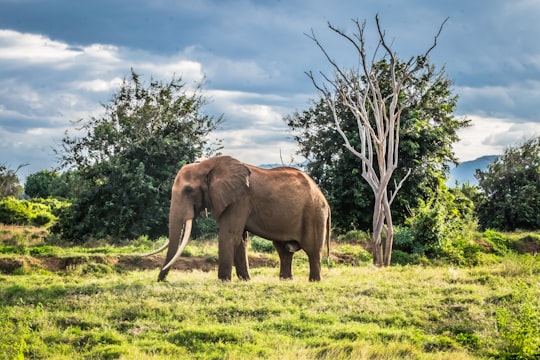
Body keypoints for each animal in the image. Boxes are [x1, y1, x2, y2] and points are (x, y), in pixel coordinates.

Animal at [143, 155, 330, 282]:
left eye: (188, 190)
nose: (161, 280)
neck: (208, 165)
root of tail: (324, 198)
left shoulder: (240, 200)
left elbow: (229, 235)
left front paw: (223, 281)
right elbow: (240, 239)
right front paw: (245, 280)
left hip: (314, 213)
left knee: (312, 250)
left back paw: (314, 281)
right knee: (284, 250)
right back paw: (285, 280)